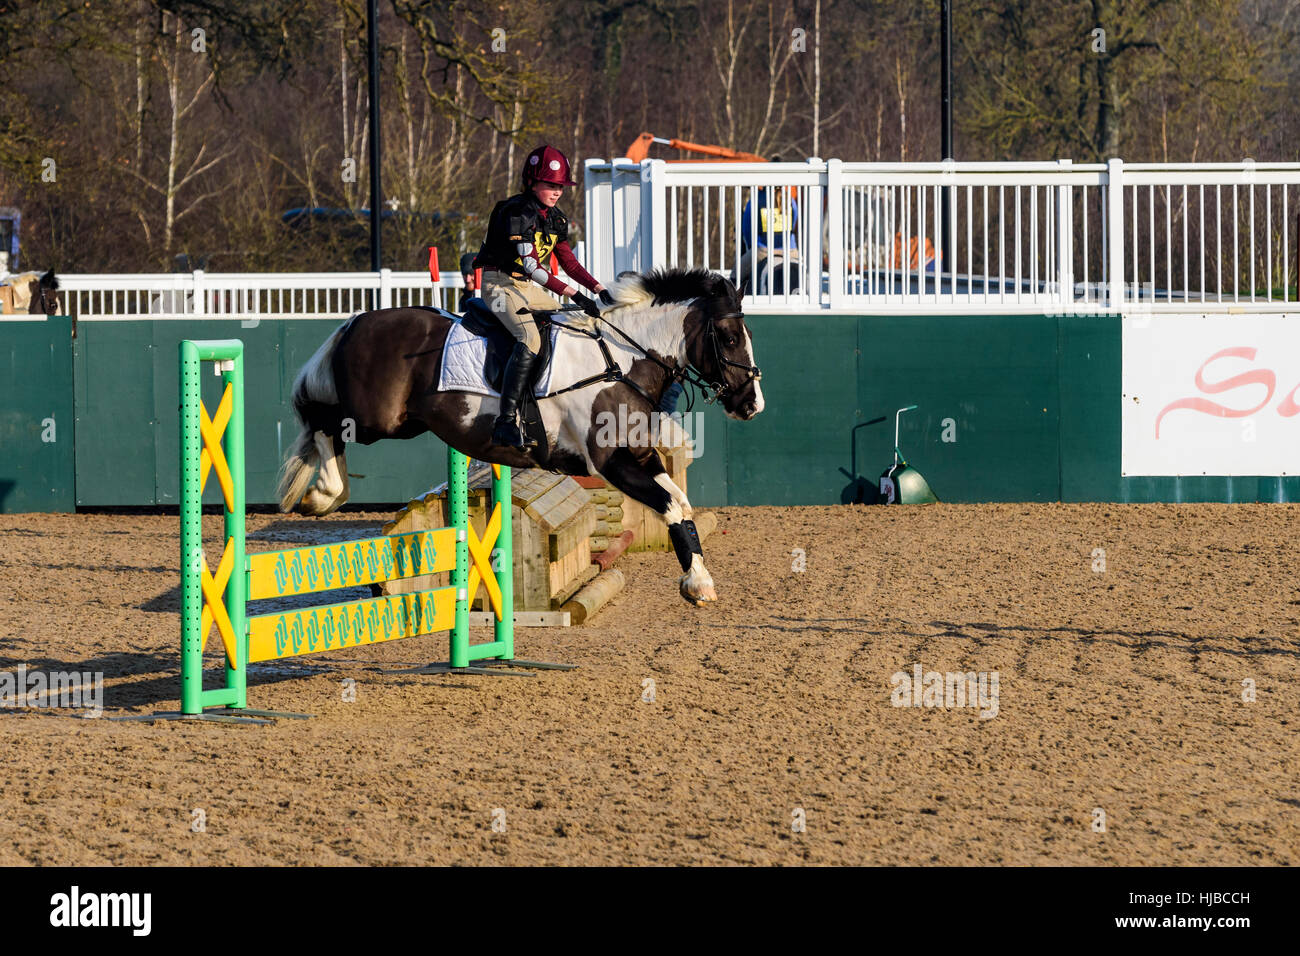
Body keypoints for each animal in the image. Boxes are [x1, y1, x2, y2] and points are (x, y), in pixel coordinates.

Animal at [275, 265, 759, 600]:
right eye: (729, 337)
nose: (752, 404)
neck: (620, 360)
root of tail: (357, 321)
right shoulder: (611, 463)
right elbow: (670, 506)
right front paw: (696, 583)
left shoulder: (640, 456)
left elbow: (681, 505)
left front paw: (698, 580)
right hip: (378, 418)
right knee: (323, 421)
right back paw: (323, 494)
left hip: (403, 421)